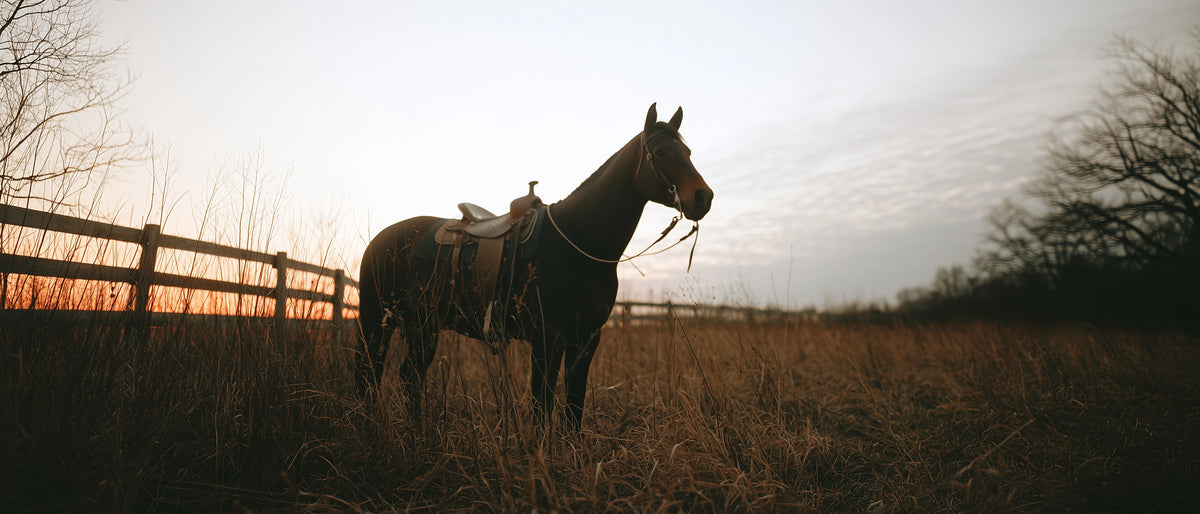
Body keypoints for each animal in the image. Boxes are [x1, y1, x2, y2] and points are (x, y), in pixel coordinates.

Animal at [355, 103, 713, 430]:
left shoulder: (586, 340)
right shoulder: (547, 338)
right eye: (661, 152)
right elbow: (542, 406)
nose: (703, 197)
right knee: (373, 374)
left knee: (407, 377)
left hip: (420, 327)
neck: (579, 240)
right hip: (381, 322)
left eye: (688, 151)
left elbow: (573, 407)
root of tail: (379, 241)